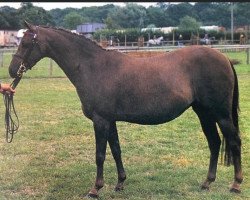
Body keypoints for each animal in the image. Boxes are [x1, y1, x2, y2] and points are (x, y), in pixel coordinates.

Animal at [8, 21, 242, 197]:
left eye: (26, 43)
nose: (12, 70)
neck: (94, 67)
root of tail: (224, 58)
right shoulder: (110, 121)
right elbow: (116, 150)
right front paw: (120, 183)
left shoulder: (100, 121)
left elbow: (100, 154)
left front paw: (95, 188)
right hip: (204, 113)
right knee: (214, 143)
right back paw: (207, 182)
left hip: (221, 114)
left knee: (234, 142)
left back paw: (236, 184)